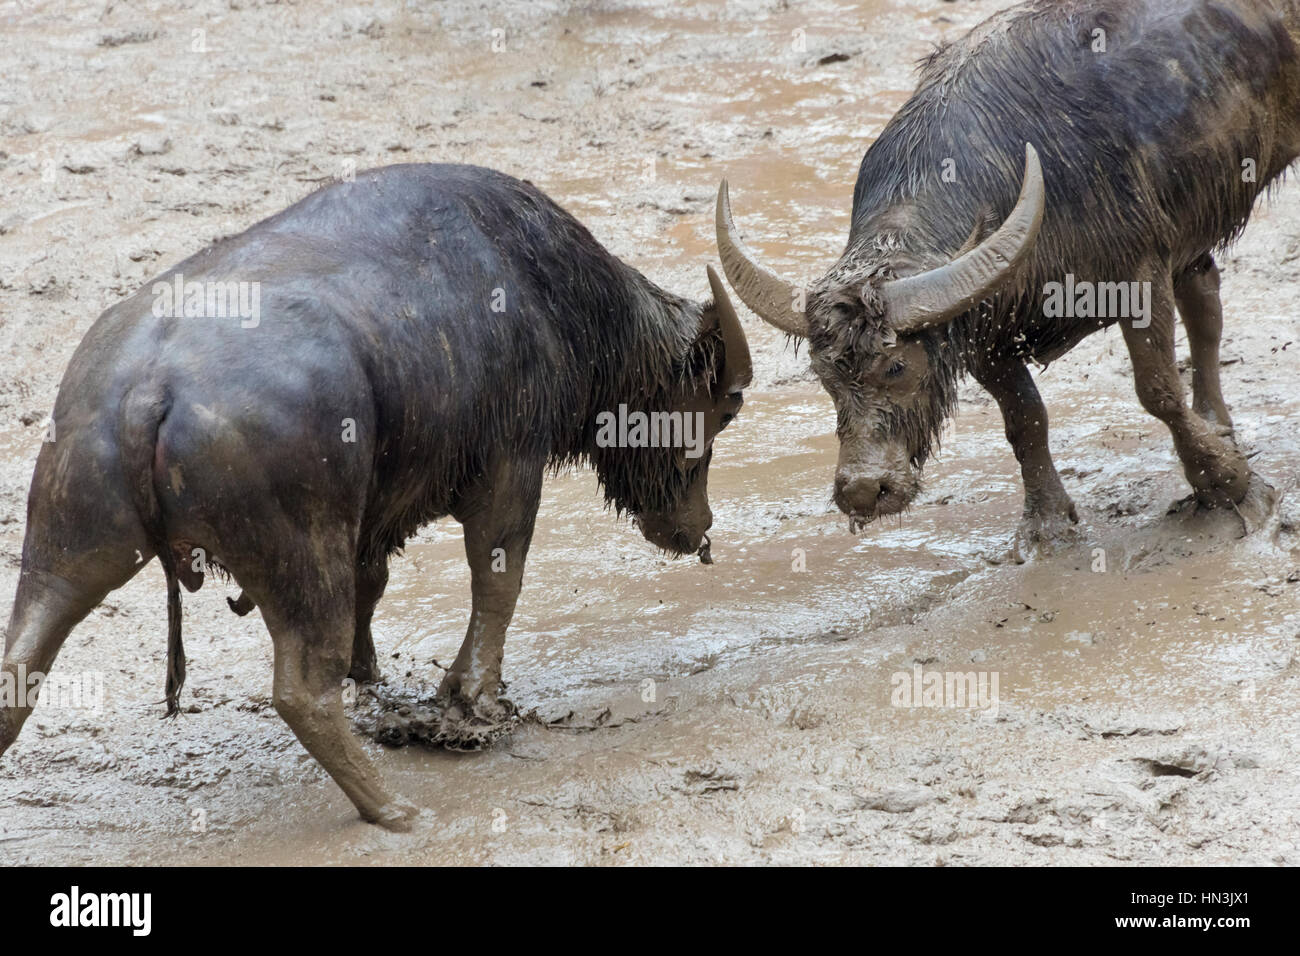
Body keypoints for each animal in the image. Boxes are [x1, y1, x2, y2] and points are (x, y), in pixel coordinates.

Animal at [0, 164, 754, 832]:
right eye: (722, 408)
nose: (699, 529)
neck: (542, 289)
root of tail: (148, 387)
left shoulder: (376, 516)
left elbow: (377, 584)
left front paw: (378, 681)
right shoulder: (509, 465)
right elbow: (498, 580)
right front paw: (472, 700)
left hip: (68, 548)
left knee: (18, 671)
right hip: (301, 553)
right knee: (302, 692)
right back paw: (394, 809)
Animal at [722, 0, 1300, 556]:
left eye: (896, 366)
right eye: (825, 376)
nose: (863, 490)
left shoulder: (1138, 273)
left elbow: (1157, 390)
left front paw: (1229, 486)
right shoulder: (984, 333)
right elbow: (1024, 420)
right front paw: (1047, 524)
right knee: (1204, 299)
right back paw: (1219, 422)